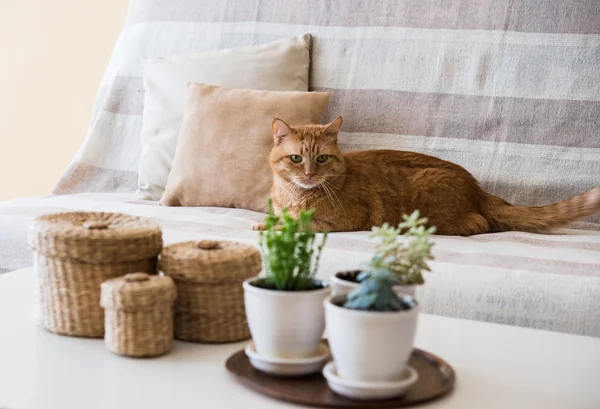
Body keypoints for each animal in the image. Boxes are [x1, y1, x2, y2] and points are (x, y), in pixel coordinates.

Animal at [253, 115, 600, 236]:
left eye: (322, 158)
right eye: (296, 158)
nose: (310, 174)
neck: (294, 195)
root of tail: (477, 187)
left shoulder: (345, 222)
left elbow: (301, 223)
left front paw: (279, 224)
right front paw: (264, 222)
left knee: (480, 224)